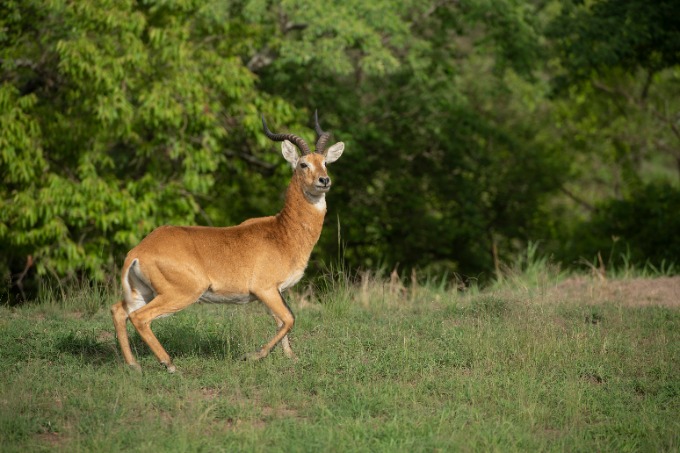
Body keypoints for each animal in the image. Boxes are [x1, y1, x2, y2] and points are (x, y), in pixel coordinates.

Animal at [110, 112, 344, 372]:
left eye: (325, 162)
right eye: (303, 164)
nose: (324, 180)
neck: (282, 233)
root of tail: (138, 251)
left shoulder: (276, 291)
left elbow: (283, 319)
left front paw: (290, 357)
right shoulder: (265, 289)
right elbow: (288, 319)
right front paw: (253, 356)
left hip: (143, 293)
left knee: (119, 311)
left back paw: (134, 365)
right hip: (181, 293)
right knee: (139, 317)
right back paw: (168, 364)